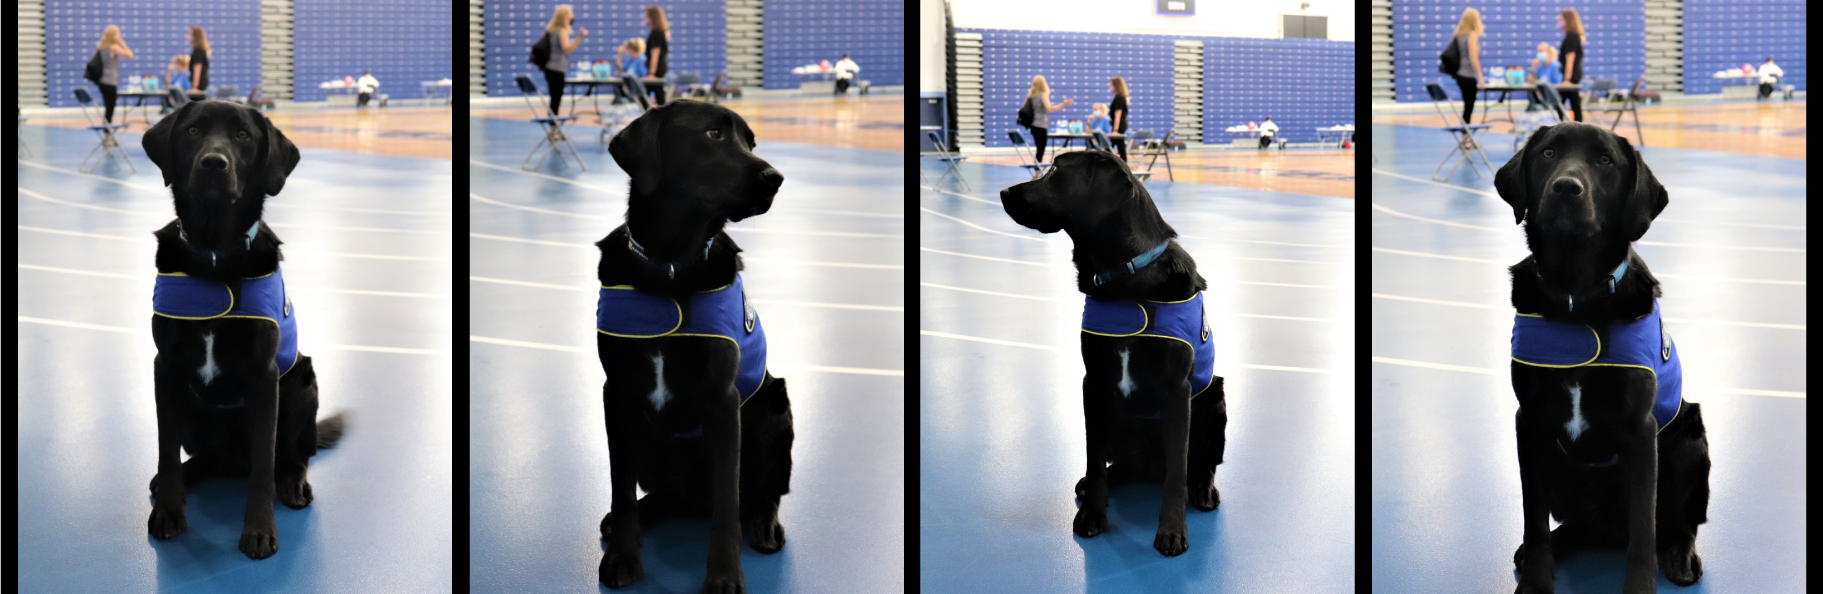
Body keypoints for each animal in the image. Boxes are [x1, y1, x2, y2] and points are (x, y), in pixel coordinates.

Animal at [140, 99, 346, 557]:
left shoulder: (264, 375)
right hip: (192, 409)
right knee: (202, 459)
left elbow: (263, 468)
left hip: (301, 383)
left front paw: (259, 529)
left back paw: (294, 483)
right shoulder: (166, 368)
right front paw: (167, 511)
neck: (216, 254)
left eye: (243, 136)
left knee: (291, 457)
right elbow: (164, 449)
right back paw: (177, 480)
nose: (213, 164)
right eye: (193, 130)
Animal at [597, 99, 791, 590]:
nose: (776, 177)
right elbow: (620, 486)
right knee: (658, 495)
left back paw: (764, 525)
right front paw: (622, 555)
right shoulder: (616, 393)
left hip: (775, 408)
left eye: (751, 141)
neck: (670, 265)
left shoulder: (723, 401)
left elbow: (727, 503)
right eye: (713, 134)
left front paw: (723, 575)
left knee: (762, 493)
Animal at [999, 149, 1225, 557]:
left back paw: (1203, 488)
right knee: (1116, 464)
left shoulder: (1177, 391)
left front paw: (1172, 530)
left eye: (1055, 170)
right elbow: (1093, 454)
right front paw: (1092, 513)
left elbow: (1177, 472)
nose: (1004, 191)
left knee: (1197, 464)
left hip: (1214, 399)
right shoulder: (1095, 383)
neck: (1125, 278)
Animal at [1494, 122, 1706, 590]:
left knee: (1677, 525)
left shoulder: (1641, 430)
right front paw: (1535, 581)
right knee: (1571, 526)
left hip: (1690, 440)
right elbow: (1533, 520)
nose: (1566, 187)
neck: (1577, 295)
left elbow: (1644, 532)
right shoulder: (1529, 422)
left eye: (1605, 161)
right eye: (1548, 153)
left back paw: (1681, 556)